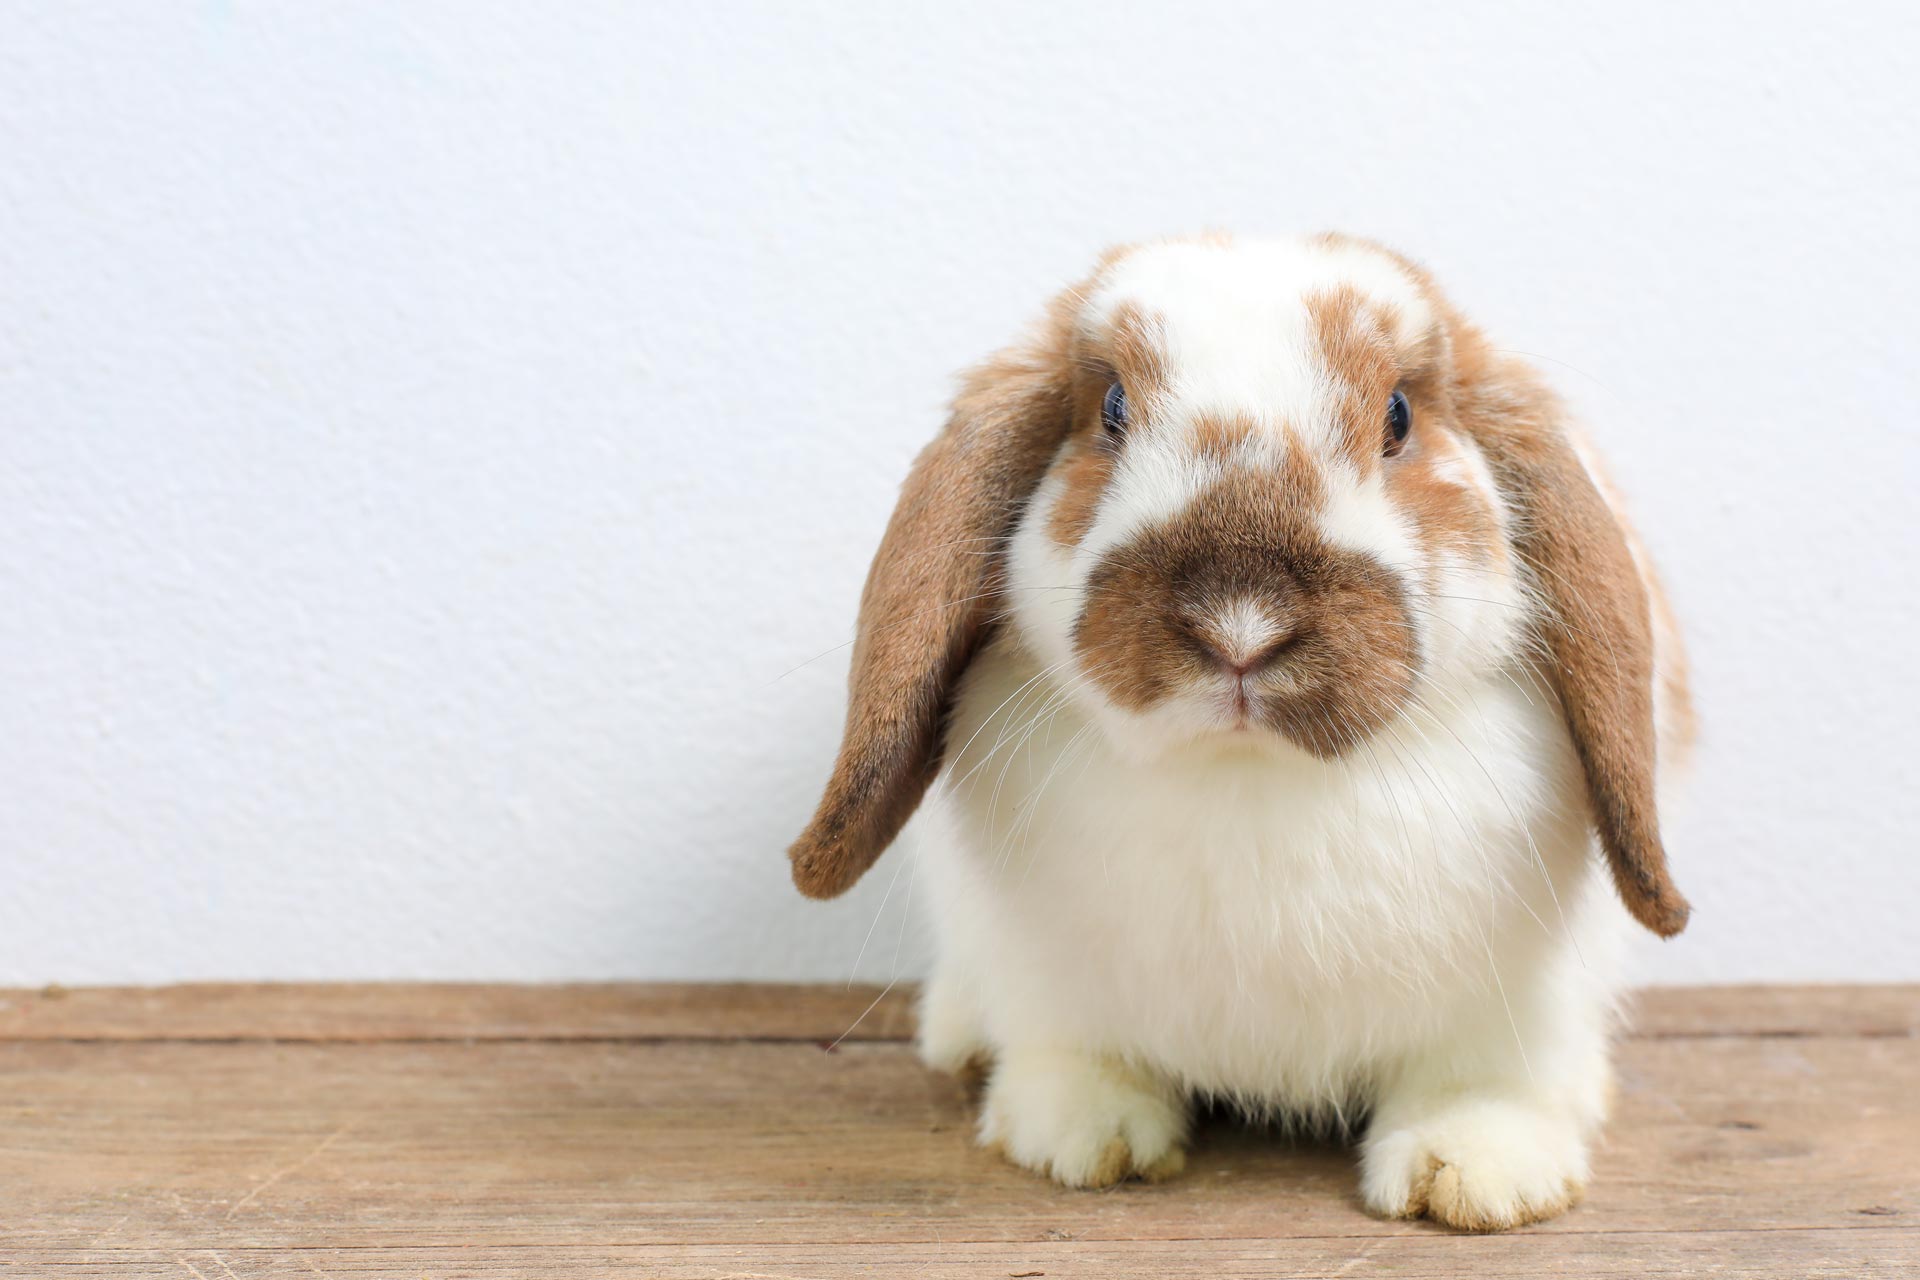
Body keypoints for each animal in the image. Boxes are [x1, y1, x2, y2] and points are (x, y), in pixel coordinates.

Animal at [786, 233, 1693, 1232]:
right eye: (1111, 410)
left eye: (1398, 416)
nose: (1241, 622)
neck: (1250, 776)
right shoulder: (1050, 975)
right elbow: (1077, 1051)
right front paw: (1081, 1135)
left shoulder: (1515, 1008)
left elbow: (1480, 1082)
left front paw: (1473, 1173)